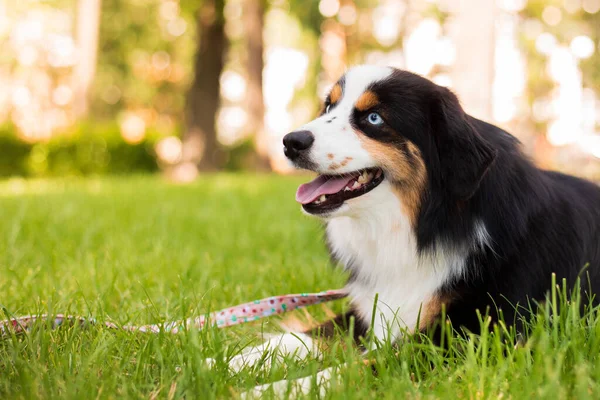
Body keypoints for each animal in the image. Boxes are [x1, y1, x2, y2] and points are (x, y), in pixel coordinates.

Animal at [221, 65, 600, 394]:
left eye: (374, 118)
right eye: (329, 105)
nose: (290, 141)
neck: (421, 226)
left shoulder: (476, 337)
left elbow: (358, 365)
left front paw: (264, 390)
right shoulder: (369, 311)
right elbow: (301, 336)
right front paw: (218, 362)